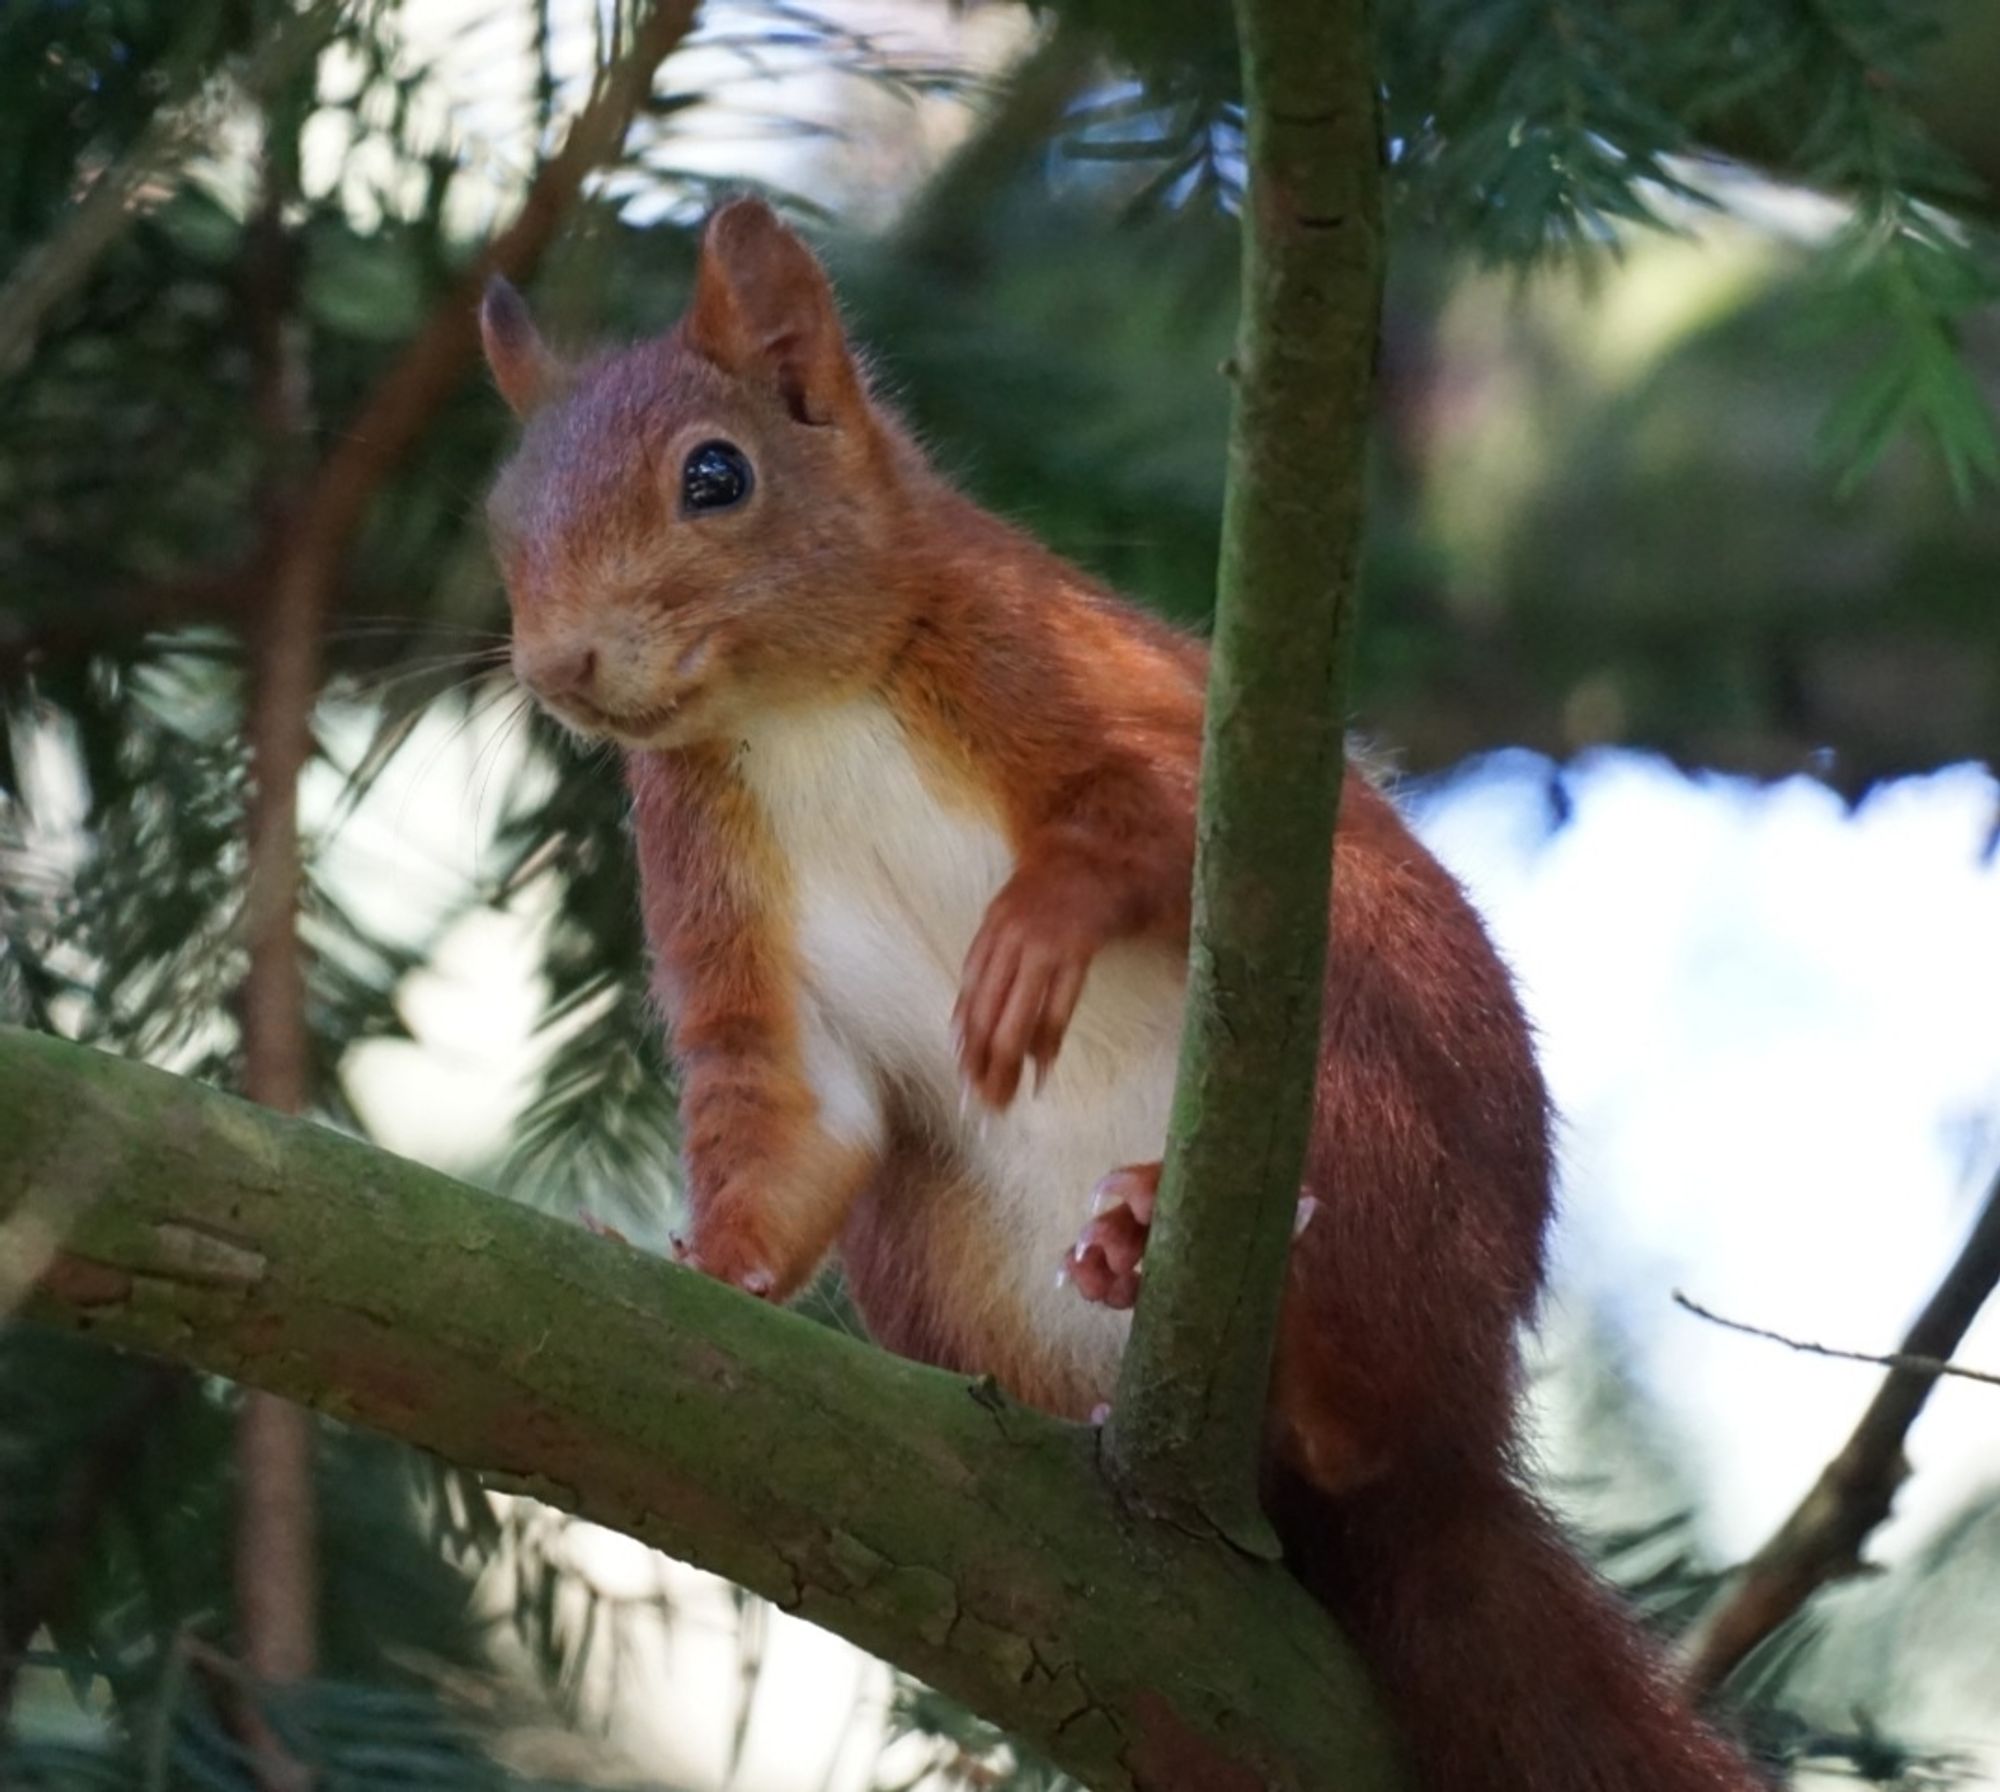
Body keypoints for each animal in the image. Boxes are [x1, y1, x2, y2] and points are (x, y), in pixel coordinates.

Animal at [476, 200, 1760, 1792]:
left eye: (715, 476)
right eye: (499, 520)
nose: (559, 666)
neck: (801, 708)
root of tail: (1461, 1452)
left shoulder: (1087, 676)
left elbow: (1146, 809)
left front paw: (1041, 928)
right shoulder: (727, 913)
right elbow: (785, 1110)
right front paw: (710, 1265)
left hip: (1375, 1091)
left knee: (1367, 1410)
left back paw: (1239, 1296)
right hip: (939, 1260)